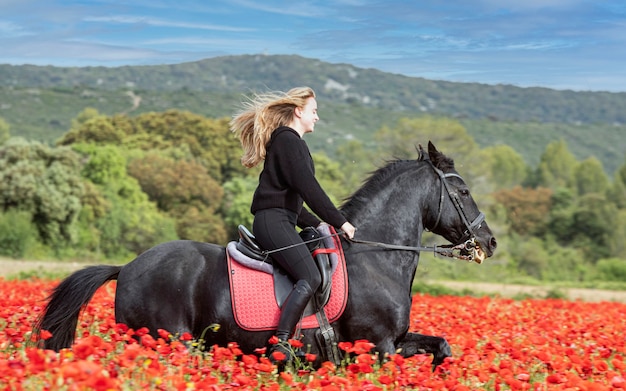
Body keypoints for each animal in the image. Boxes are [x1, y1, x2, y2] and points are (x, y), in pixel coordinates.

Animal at [36, 142, 494, 370]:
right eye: (464, 190)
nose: (489, 242)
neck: (378, 257)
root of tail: (127, 266)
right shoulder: (378, 347)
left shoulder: (397, 340)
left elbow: (442, 346)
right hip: (166, 343)